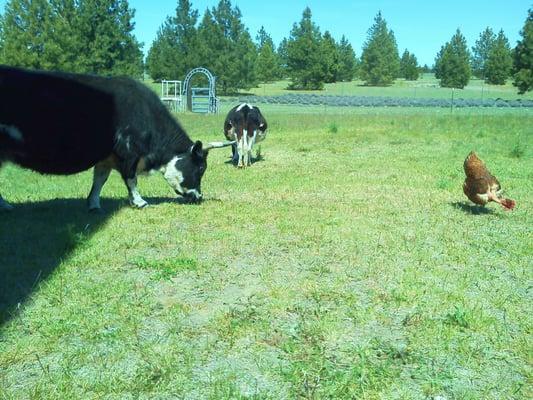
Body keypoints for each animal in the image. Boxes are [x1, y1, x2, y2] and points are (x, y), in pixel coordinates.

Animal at [0, 65, 233, 212]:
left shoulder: (106, 158)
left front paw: (93, 204)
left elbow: (99, 180)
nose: (199, 197)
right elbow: (131, 179)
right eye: (200, 168)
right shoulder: (128, 153)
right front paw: (139, 202)